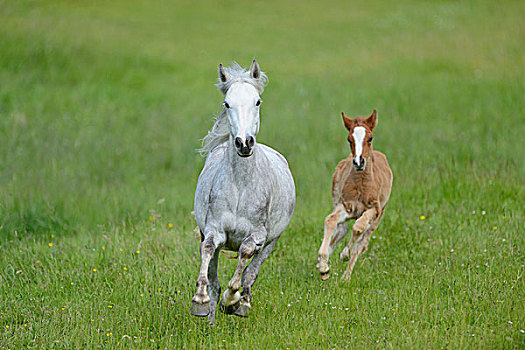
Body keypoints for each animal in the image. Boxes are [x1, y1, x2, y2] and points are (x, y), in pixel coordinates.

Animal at [190, 59, 294, 322]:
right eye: (227, 103)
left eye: (257, 101)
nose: (244, 143)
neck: (241, 187)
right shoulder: (213, 229)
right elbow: (207, 251)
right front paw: (200, 301)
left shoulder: (259, 235)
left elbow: (245, 254)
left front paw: (232, 299)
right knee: (215, 277)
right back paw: (211, 317)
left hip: (271, 243)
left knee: (251, 273)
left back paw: (242, 303)